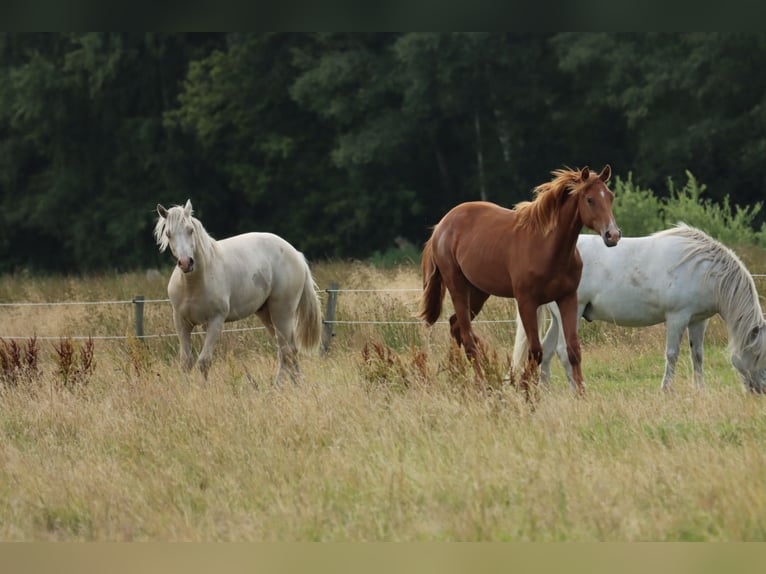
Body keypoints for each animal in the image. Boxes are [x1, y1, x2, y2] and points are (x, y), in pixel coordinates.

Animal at [154, 200, 322, 384]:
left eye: (190, 230)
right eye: (168, 234)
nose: (185, 263)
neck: (193, 284)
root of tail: (296, 254)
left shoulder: (215, 321)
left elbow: (204, 361)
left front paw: (204, 389)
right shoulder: (182, 322)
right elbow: (186, 361)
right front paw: (188, 388)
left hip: (282, 313)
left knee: (286, 351)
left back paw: (280, 385)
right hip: (267, 314)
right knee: (289, 349)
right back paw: (296, 383)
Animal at [418, 165, 621, 394]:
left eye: (610, 196)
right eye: (590, 199)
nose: (613, 235)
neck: (547, 247)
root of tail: (441, 226)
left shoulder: (568, 299)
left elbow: (573, 350)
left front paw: (580, 394)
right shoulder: (526, 302)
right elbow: (536, 351)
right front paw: (523, 387)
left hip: (478, 292)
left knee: (456, 326)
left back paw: (458, 377)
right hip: (458, 287)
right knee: (468, 338)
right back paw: (481, 383)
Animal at [511, 224, 766, 393]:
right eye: (760, 355)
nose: (761, 391)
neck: (703, 270)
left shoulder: (698, 320)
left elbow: (698, 355)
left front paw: (700, 390)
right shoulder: (677, 318)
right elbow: (672, 354)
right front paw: (666, 390)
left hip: (558, 319)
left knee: (548, 350)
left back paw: (546, 391)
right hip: (572, 315)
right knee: (565, 352)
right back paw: (577, 390)